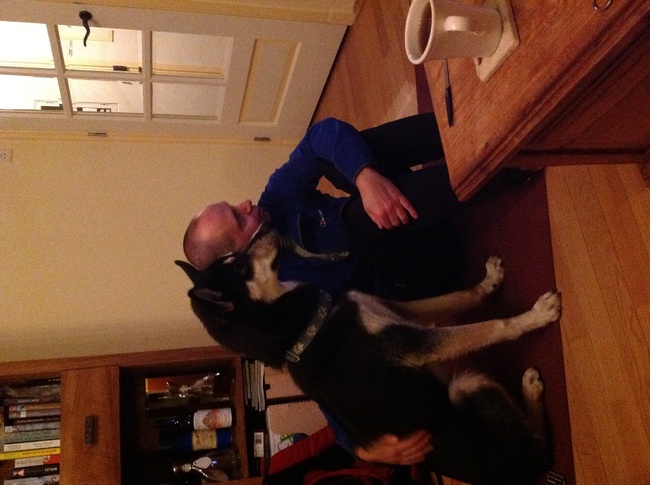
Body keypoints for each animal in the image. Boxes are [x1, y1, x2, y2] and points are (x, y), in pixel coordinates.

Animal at [176, 222, 561, 484]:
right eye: (239, 266)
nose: (268, 225)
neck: (302, 330)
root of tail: (519, 476)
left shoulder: (395, 310)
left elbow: (459, 297)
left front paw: (489, 282)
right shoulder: (412, 345)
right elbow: (490, 327)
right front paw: (534, 317)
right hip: (470, 385)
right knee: (542, 450)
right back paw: (532, 389)